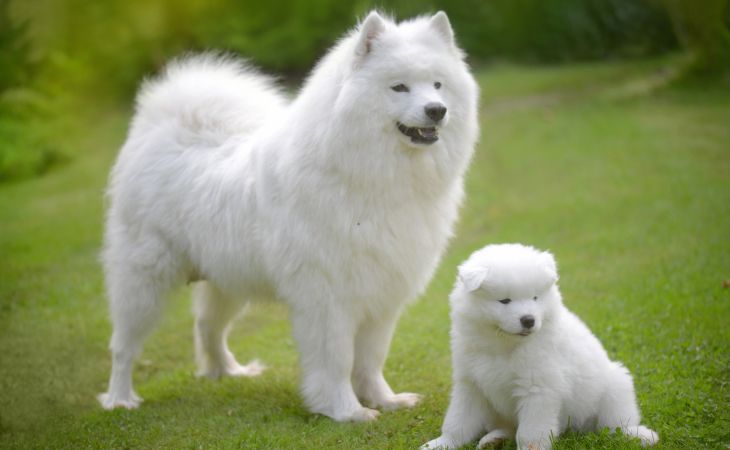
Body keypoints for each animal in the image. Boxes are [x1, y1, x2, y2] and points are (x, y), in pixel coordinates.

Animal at [99, 11, 480, 426]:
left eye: (438, 85)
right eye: (399, 87)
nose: (437, 109)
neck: (367, 175)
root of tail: (160, 130)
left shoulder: (382, 295)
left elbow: (371, 358)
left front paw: (385, 400)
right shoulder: (328, 298)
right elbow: (337, 360)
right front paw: (346, 410)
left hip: (227, 281)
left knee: (208, 328)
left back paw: (228, 371)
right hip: (143, 281)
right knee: (123, 346)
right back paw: (120, 399)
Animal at [418, 244, 656, 448]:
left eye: (535, 297)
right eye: (504, 301)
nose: (528, 320)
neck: (503, 345)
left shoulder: (538, 389)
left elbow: (529, 433)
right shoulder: (471, 384)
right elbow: (458, 421)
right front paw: (441, 444)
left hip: (615, 386)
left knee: (617, 423)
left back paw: (639, 435)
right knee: (506, 428)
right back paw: (492, 440)